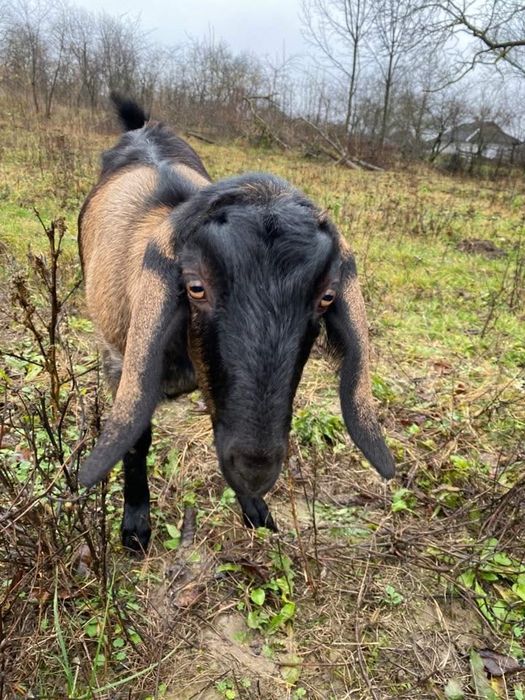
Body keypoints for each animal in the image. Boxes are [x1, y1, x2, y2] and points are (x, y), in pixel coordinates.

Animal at [77, 95, 395, 552]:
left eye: (326, 297)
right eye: (195, 287)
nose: (256, 469)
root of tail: (144, 129)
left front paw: (255, 508)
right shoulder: (122, 364)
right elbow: (137, 440)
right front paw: (136, 526)